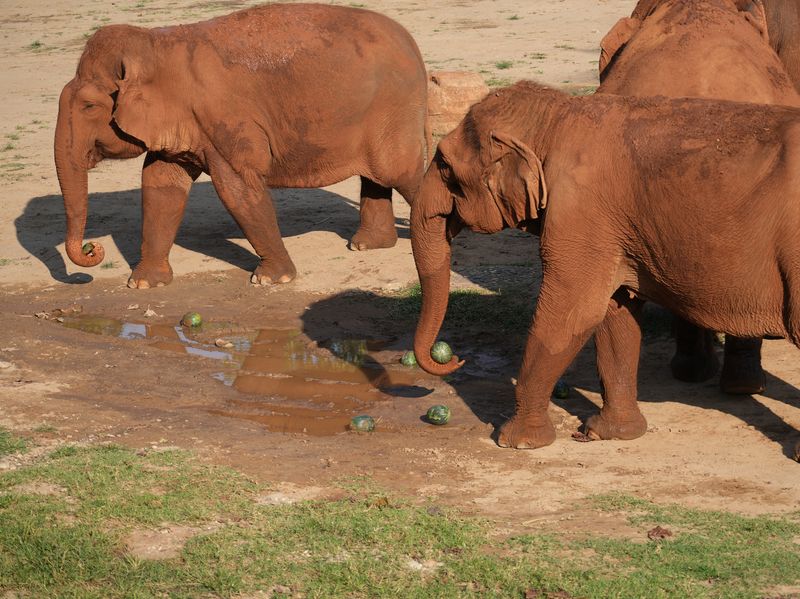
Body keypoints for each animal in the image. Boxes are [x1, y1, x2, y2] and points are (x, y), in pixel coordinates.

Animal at [55, 3, 429, 289]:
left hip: (395, 106)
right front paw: (143, 283)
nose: (92, 249)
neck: (157, 42)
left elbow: (237, 188)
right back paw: (367, 245)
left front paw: (270, 280)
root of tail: (411, 42)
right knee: (378, 174)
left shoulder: (224, 119)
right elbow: (160, 186)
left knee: (399, 172)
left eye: (89, 106)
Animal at [411, 81, 800, 450]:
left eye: (444, 166)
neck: (557, 114)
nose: (453, 359)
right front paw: (609, 433)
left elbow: (573, 313)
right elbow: (615, 312)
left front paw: (515, 441)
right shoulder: (616, 231)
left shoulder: (581, 211)